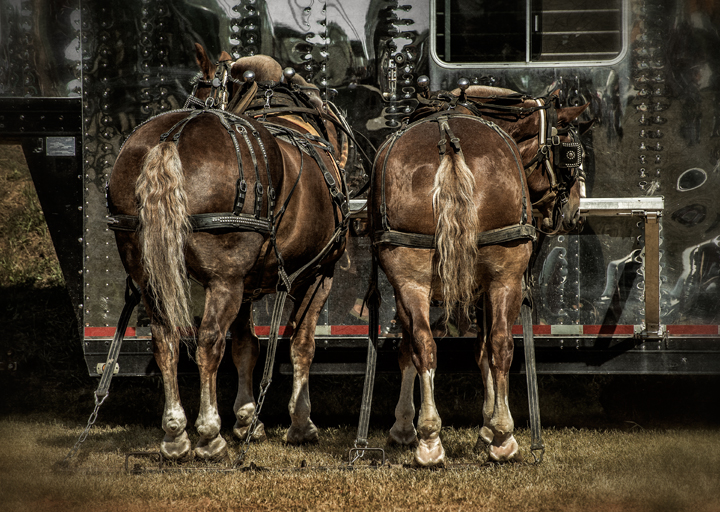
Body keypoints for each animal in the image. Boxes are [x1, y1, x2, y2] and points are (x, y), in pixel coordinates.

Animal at [106, 44, 350, 461]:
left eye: (197, 93)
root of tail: (171, 139)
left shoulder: (247, 287)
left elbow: (246, 348)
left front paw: (247, 419)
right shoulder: (319, 275)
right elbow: (301, 345)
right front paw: (300, 424)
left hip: (148, 270)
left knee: (166, 339)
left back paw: (175, 433)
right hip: (225, 278)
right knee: (207, 343)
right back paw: (208, 433)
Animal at [369, 80, 589, 466]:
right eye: (570, 155)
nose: (575, 213)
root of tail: (448, 140)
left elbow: (424, 347)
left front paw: (406, 427)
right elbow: (480, 347)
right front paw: (485, 426)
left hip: (417, 274)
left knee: (432, 343)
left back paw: (435, 440)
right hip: (503, 274)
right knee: (496, 342)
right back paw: (499, 437)